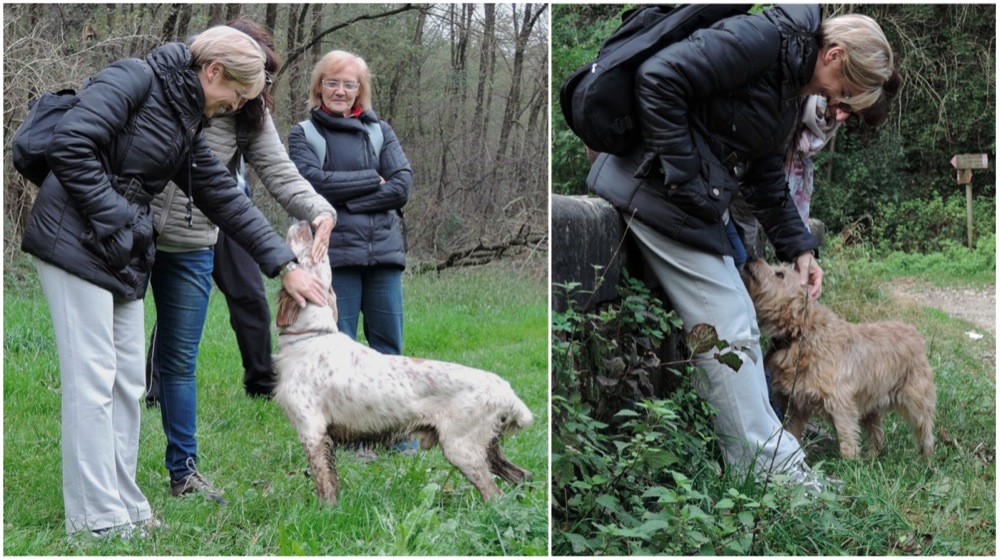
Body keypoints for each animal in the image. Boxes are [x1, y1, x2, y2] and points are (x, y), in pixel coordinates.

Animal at [270, 221, 536, 506]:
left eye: (308, 250)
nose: (305, 224)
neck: (311, 335)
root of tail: (507, 391)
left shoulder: (312, 430)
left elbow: (325, 485)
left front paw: (325, 512)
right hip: (487, 448)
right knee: (523, 476)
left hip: (463, 450)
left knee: (495, 495)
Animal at [744, 260, 936, 460]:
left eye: (780, 274)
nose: (751, 259)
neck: (802, 334)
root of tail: (915, 334)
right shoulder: (794, 406)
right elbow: (792, 432)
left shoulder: (841, 404)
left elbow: (847, 438)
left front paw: (850, 463)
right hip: (870, 405)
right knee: (877, 434)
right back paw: (872, 456)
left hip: (917, 400)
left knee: (925, 431)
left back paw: (926, 459)